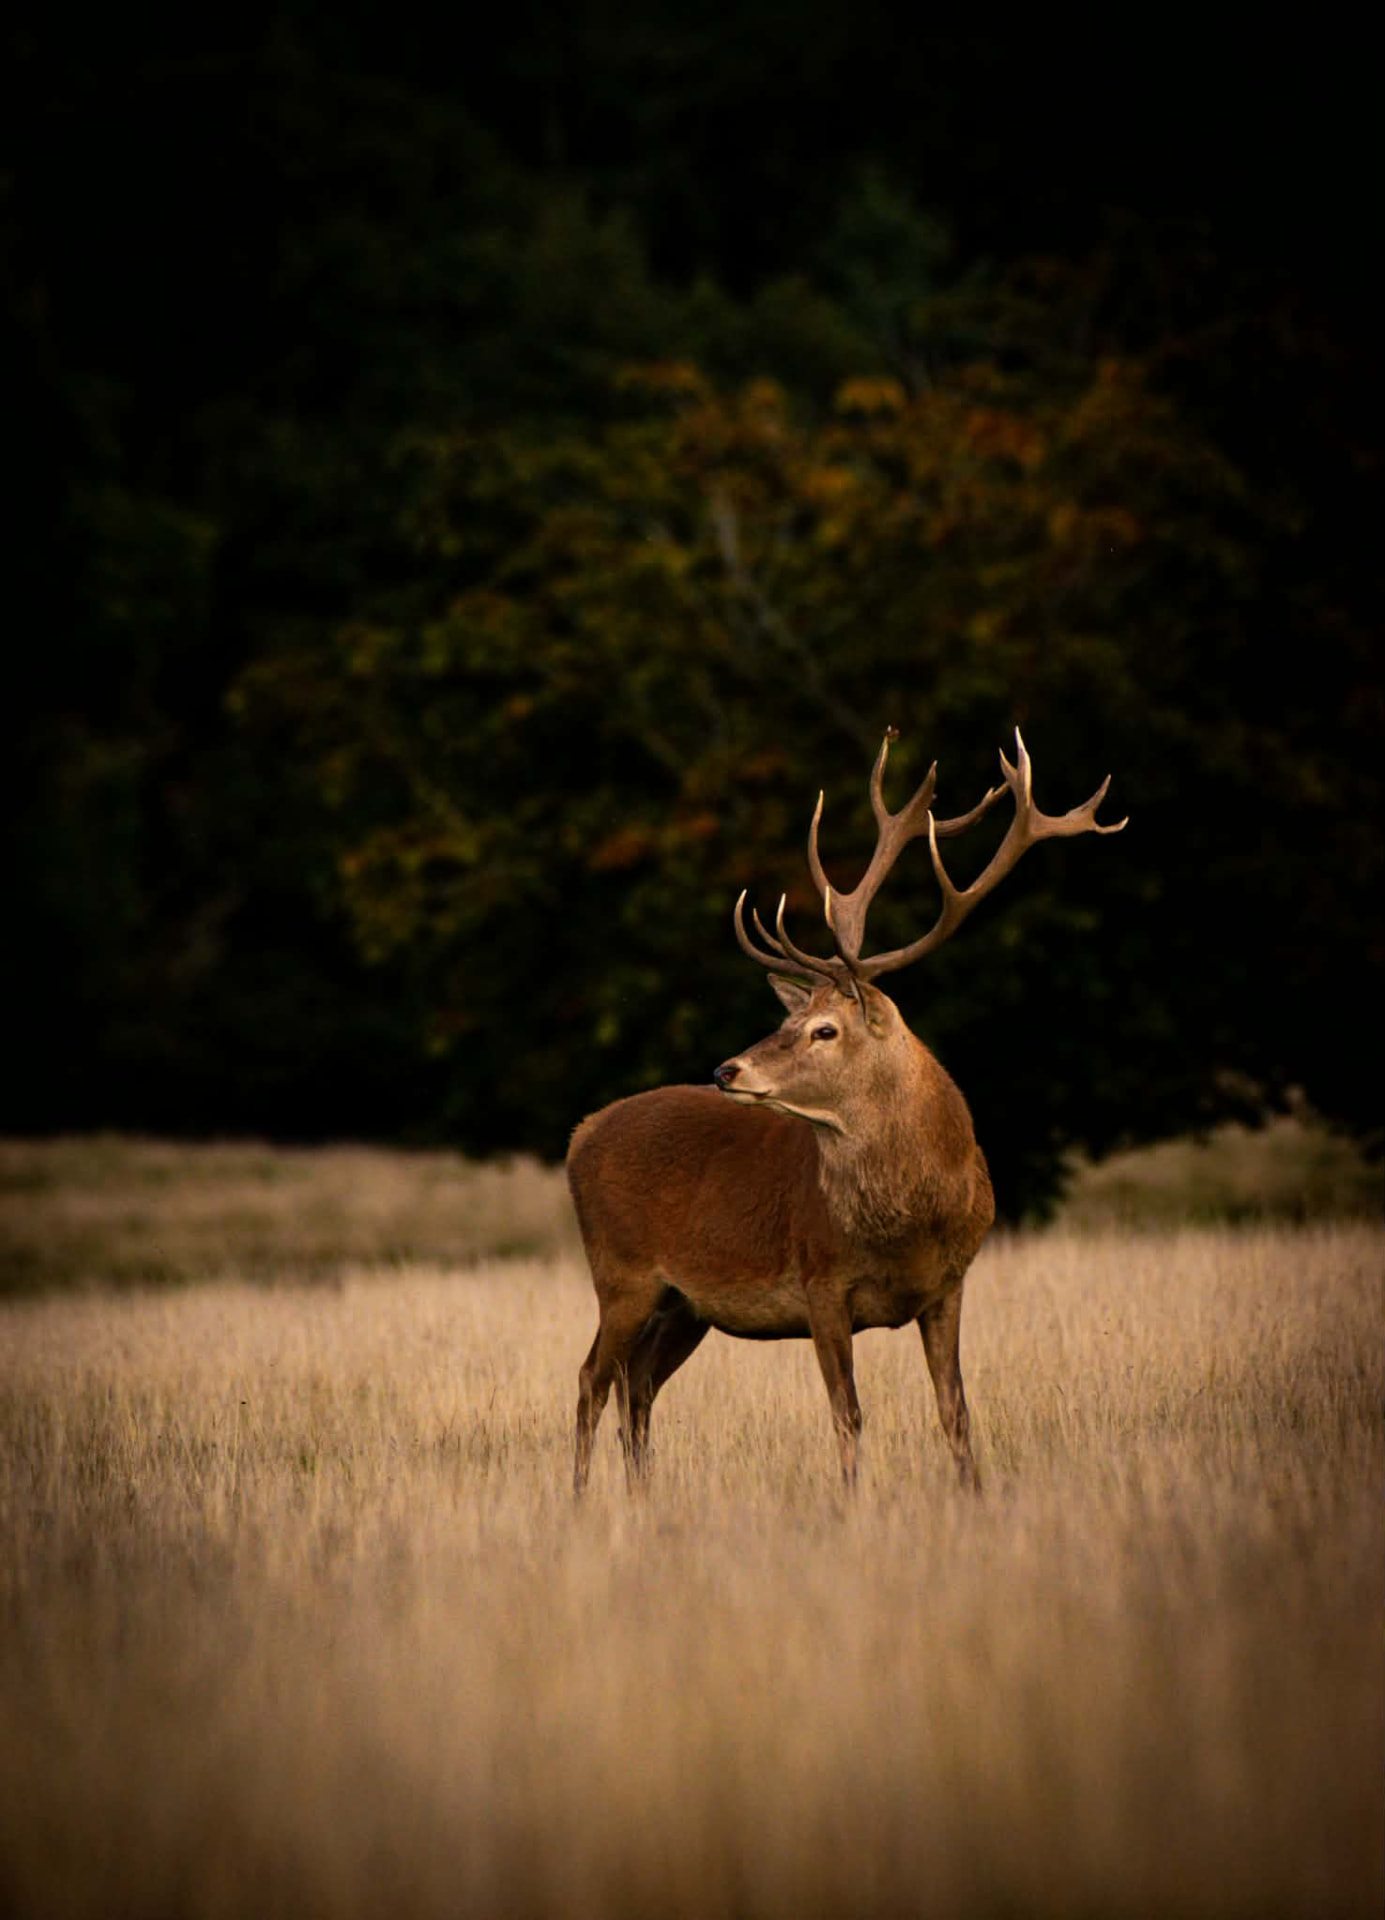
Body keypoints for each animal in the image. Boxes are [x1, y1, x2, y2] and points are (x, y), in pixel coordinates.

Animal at [567, 727, 1125, 1492]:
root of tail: (579, 1133)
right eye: (793, 1019)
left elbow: (955, 1410)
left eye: (823, 1030)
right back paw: (579, 1497)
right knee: (593, 1378)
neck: (908, 1223)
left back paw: (641, 1494)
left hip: (683, 1303)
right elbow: (849, 1414)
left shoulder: (950, 1284)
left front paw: (973, 1493)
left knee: (638, 1385)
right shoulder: (820, 1281)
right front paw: (852, 1500)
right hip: (621, 1271)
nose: (724, 1069)